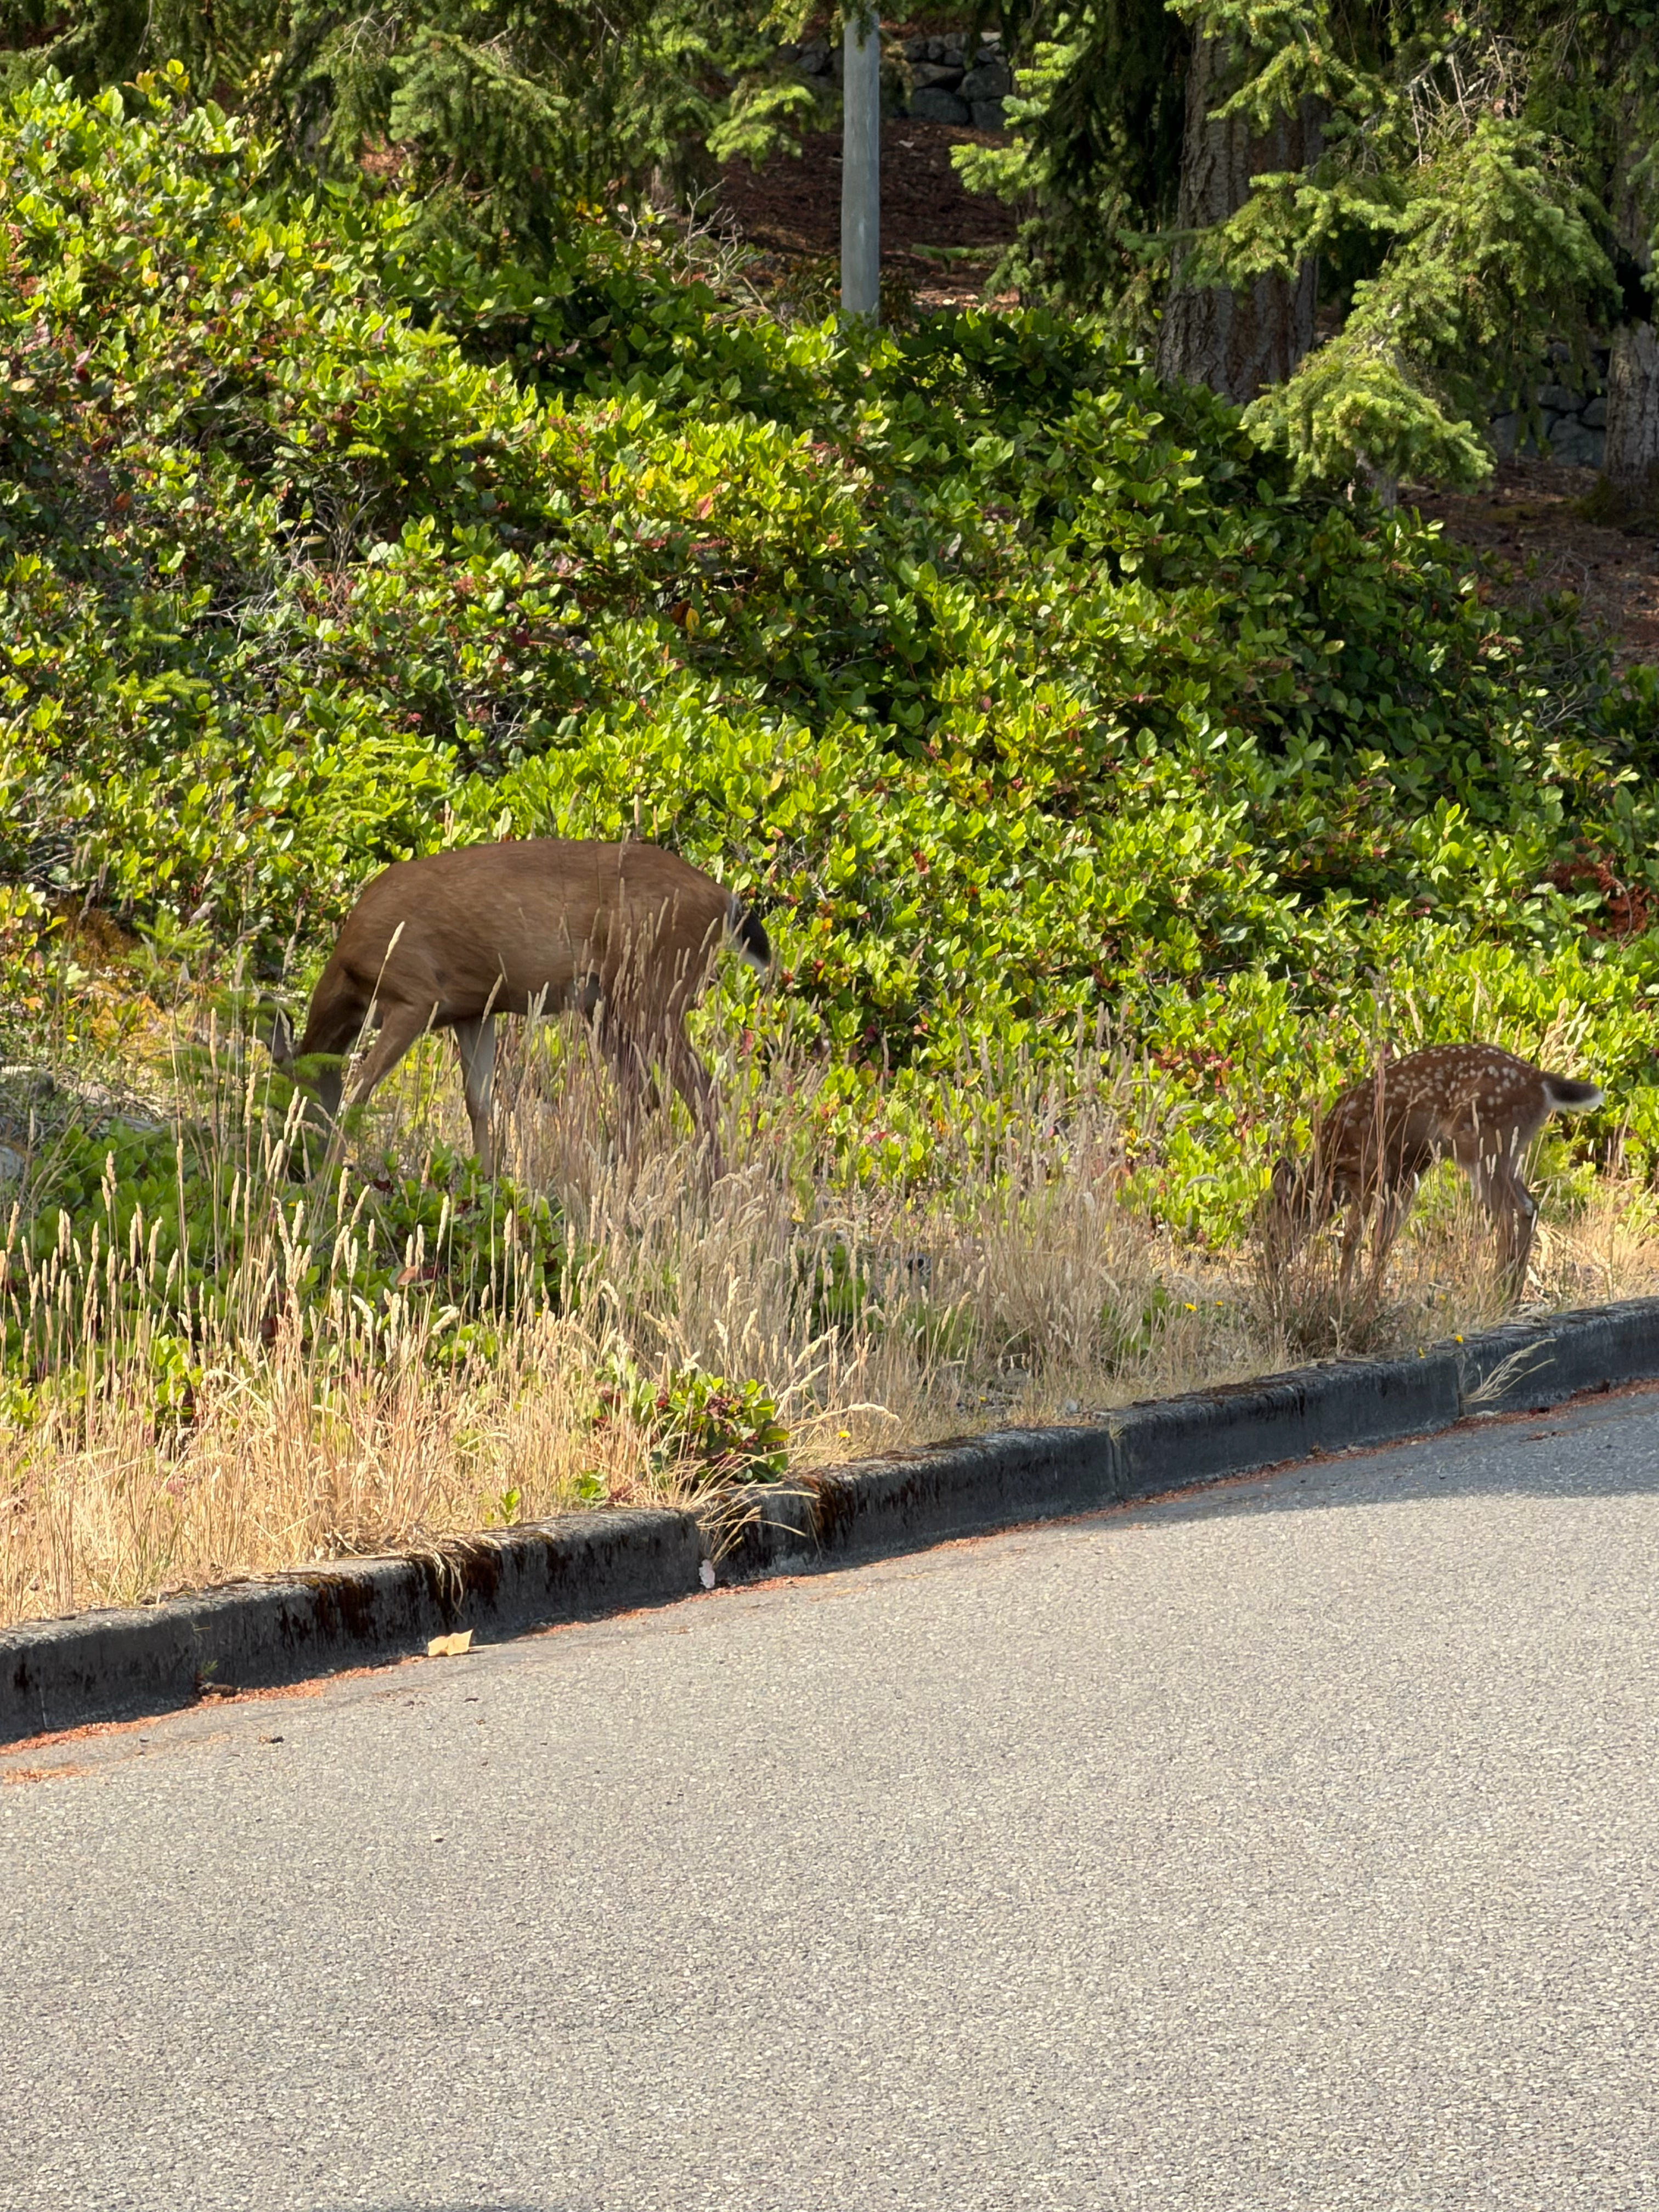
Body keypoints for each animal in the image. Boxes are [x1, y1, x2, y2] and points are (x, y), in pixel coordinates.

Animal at [265, 839, 772, 1178]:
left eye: (288, 1095)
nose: (292, 1158)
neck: (351, 976)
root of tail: (726, 900)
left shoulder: (417, 995)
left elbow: (360, 1089)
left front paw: (331, 1174)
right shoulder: (472, 1010)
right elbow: (478, 1100)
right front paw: (486, 1179)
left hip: (655, 989)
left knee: (701, 1090)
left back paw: (711, 1187)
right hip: (608, 1006)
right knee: (644, 1092)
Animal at [1264, 1043, 1603, 1301]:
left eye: (1267, 1225)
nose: (1271, 1264)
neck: (1331, 1169)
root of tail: (1541, 1082)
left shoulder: (1371, 1172)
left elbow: (1353, 1239)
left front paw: (1343, 1297)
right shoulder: (1405, 1176)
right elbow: (1383, 1240)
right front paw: (1369, 1299)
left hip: (1482, 1143)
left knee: (1514, 1211)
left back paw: (1497, 1294)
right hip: (1508, 1151)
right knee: (1529, 1206)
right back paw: (1510, 1296)